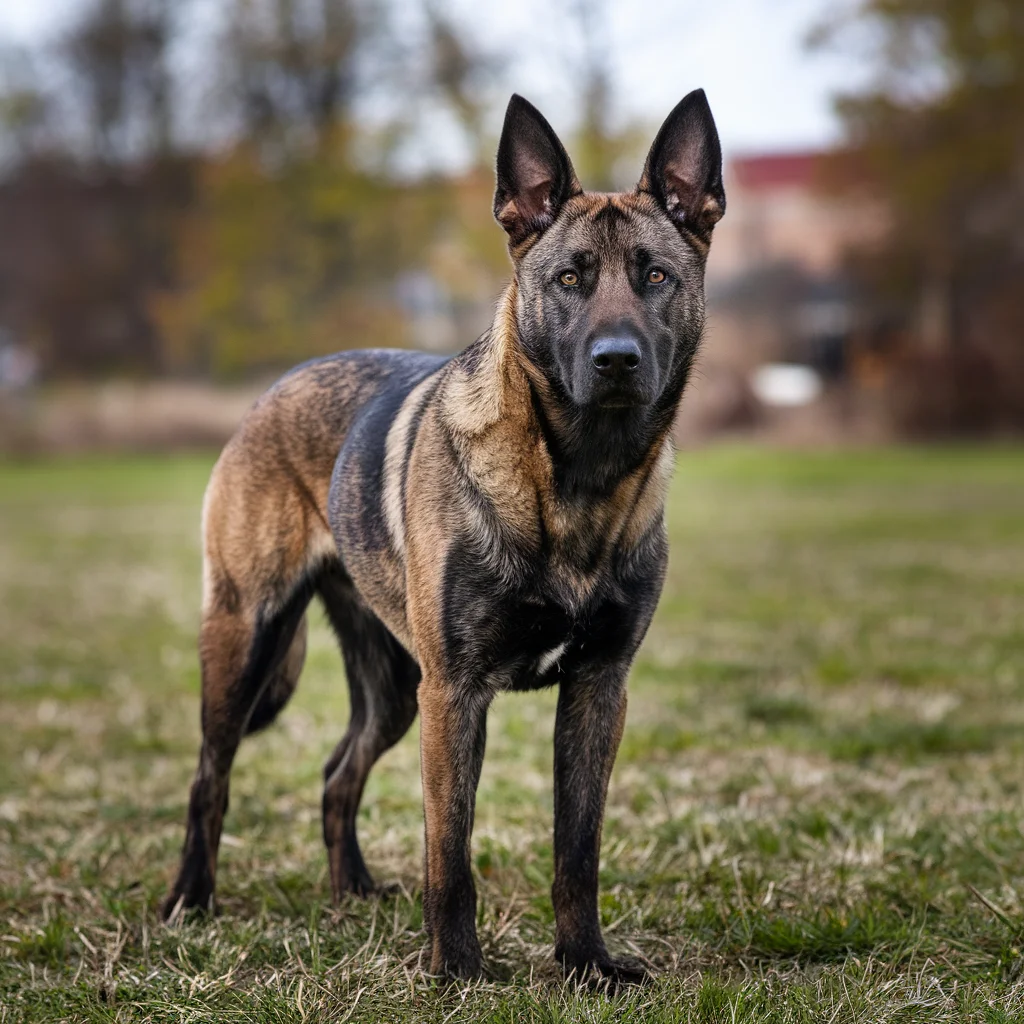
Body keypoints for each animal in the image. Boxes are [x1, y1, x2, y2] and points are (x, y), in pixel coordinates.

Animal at [161, 90, 729, 983]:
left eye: (656, 276)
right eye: (569, 279)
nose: (616, 359)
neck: (574, 476)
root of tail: (273, 390)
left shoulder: (597, 689)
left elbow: (577, 849)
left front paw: (586, 962)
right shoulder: (455, 693)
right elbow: (450, 850)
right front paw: (458, 968)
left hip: (395, 687)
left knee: (338, 774)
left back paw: (352, 892)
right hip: (247, 639)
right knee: (209, 776)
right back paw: (190, 899)